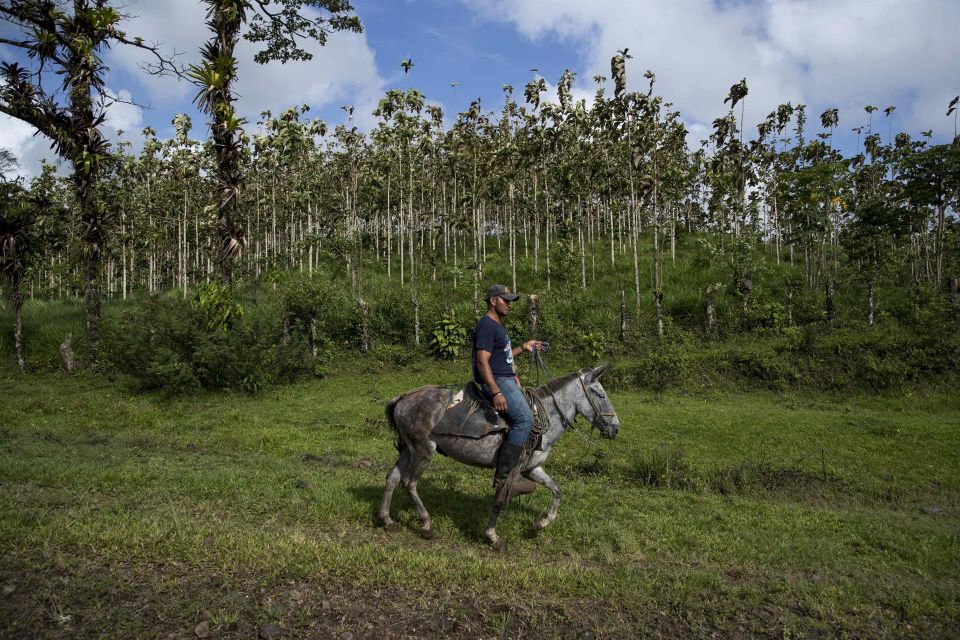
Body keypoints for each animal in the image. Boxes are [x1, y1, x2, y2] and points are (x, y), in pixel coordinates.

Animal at [378, 364, 620, 552]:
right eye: (601, 395)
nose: (615, 428)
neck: (543, 417)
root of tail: (402, 399)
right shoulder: (510, 469)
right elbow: (498, 502)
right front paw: (493, 537)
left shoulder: (531, 468)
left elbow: (557, 490)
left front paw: (539, 525)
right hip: (423, 450)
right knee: (409, 482)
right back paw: (426, 525)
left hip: (408, 450)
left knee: (392, 477)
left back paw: (387, 520)